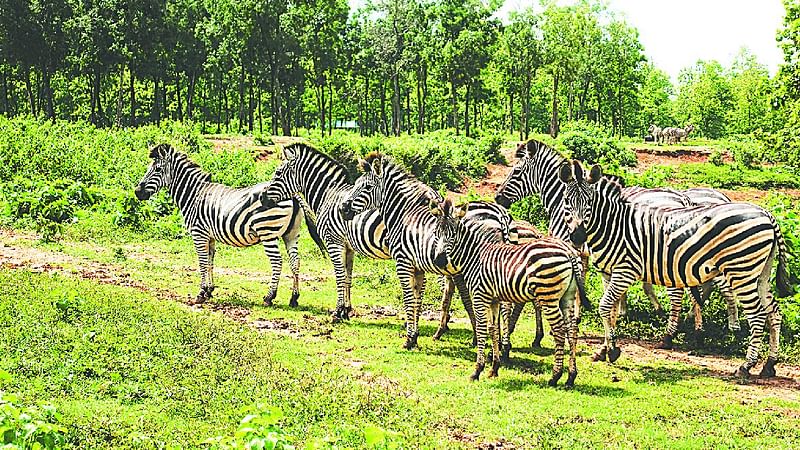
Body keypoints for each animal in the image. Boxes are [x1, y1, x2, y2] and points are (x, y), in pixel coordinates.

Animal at [134, 144, 322, 306]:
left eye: (158, 170)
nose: (137, 192)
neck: (193, 194)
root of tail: (294, 195)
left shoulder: (198, 234)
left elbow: (202, 262)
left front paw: (201, 294)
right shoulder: (209, 236)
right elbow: (210, 261)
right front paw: (209, 290)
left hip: (267, 232)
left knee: (277, 262)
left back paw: (269, 297)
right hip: (291, 234)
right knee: (295, 261)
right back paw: (294, 298)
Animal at [428, 200, 584, 386]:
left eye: (453, 234)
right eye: (436, 233)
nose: (439, 260)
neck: (474, 256)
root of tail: (569, 252)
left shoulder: (480, 296)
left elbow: (481, 328)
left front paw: (477, 370)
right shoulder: (493, 299)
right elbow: (493, 329)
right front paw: (494, 368)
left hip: (548, 296)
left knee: (559, 330)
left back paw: (555, 376)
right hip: (566, 296)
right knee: (572, 330)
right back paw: (571, 377)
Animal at [496, 139, 740, 350]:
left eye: (515, 172)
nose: (498, 198)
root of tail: (685, 199)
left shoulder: (572, 246)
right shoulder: (592, 253)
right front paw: (613, 317)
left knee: (709, 288)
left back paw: (725, 327)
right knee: (700, 286)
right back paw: (698, 328)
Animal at [556, 160, 792, 378]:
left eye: (589, 202)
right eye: (566, 201)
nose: (577, 237)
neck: (613, 226)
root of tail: (767, 214)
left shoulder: (625, 271)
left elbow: (604, 306)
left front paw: (613, 350)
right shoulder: (609, 272)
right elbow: (611, 310)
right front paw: (604, 349)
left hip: (741, 271)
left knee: (757, 315)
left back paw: (746, 366)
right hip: (760, 274)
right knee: (774, 312)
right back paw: (769, 365)